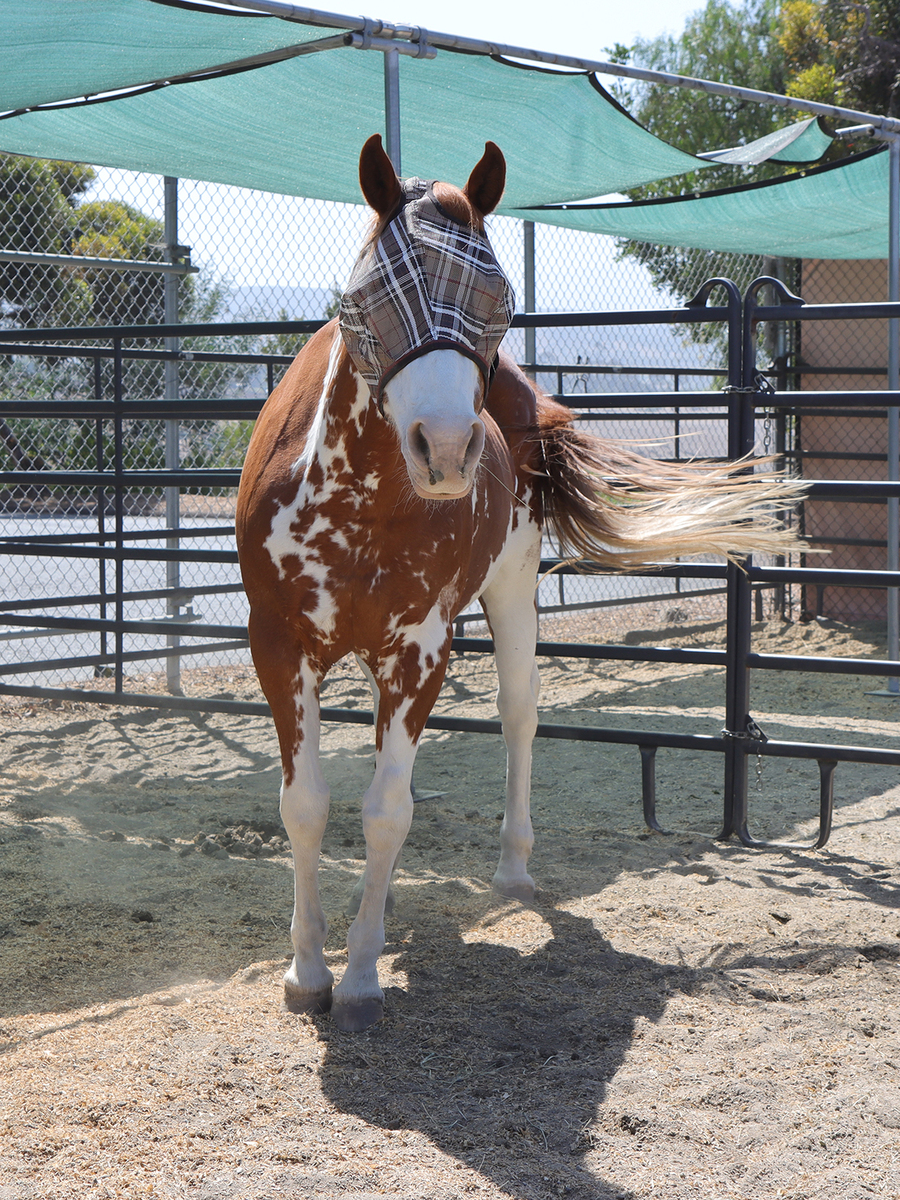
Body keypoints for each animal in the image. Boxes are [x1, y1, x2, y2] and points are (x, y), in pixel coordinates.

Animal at [236, 134, 799, 1031]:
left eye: (496, 294)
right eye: (374, 291)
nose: (445, 449)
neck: (356, 499)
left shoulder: (419, 654)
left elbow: (387, 810)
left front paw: (358, 977)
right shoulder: (279, 645)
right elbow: (307, 804)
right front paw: (307, 969)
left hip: (510, 589)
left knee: (517, 713)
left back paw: (511, 867)